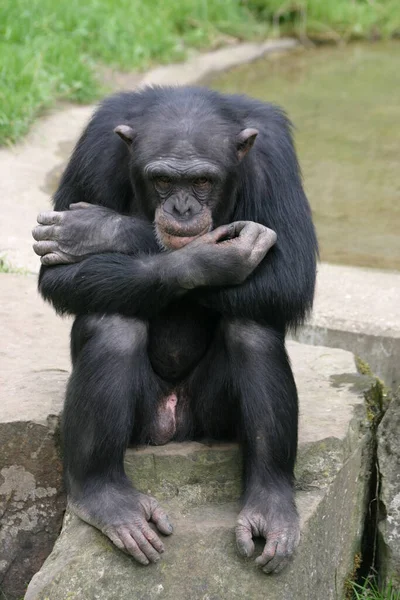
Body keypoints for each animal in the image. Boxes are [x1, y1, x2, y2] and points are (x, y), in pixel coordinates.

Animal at [32, 86, 318, 576]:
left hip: (211, 419)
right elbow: (57, 276)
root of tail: (176, 427)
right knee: (114, 323)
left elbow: (291, 271)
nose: (182, 208)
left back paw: (271, 504)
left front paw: (98, 228)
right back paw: (105, 497)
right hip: (145, 421)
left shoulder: (276, 155)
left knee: (253, 328)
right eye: (163, 180)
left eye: (202, 181)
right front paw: (201, 257)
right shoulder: (94, 148)